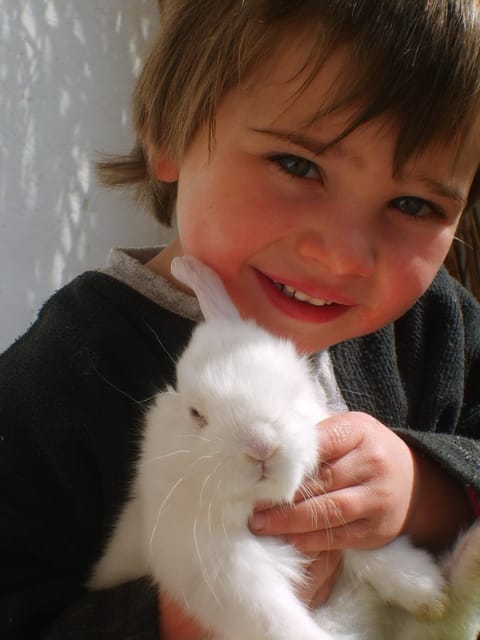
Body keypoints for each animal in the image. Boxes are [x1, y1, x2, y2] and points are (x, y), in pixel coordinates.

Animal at [89, 255, 450, 640]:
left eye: (294, 393)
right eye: (196, 414)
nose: (261, 446)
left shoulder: (331, 531)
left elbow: (372, 551)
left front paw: (429, 593)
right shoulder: (231, 577)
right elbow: (276, 620)